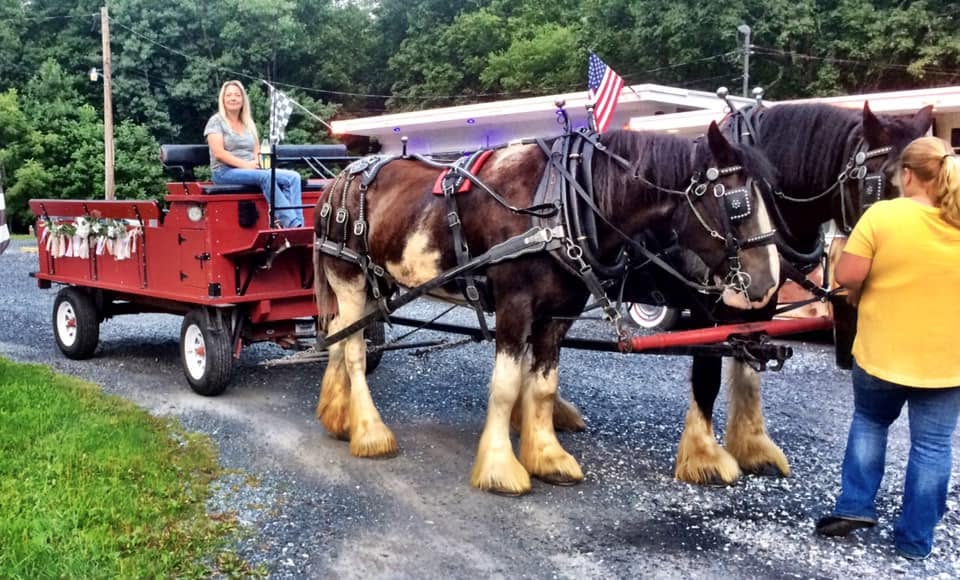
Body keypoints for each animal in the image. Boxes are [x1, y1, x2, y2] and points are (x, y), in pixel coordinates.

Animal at [312, 121, 782, 495]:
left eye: (771, 198)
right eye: (736, 206)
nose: (768, 284)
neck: (560, 203)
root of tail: (339, 179)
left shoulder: (559, 314)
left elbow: (542, 386)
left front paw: (547, 456)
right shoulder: (515, 305)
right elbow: (505, 386)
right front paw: (500, 468)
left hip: (374, 284)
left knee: (337, 337)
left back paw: (338, 416)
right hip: (349, 277)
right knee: (353, 351)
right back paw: (369, 431)